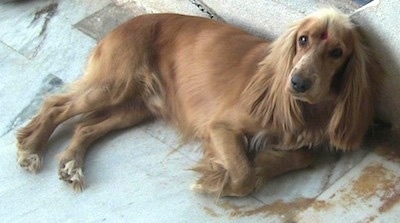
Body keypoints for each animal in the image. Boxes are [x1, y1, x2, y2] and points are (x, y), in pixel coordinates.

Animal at [16, 8, 382, 197]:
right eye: (302, 40)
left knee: (86, 128)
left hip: (135, 107)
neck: (307, 109)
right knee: (57, 106)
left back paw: (71, 163)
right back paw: (32, 148)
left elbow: (301, 156)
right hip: (113, 85)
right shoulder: (221, 126)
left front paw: (261, 162)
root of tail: (123, 25)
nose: (298, 83)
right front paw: (217, 180)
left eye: (337, 52)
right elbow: (243, 173)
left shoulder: (300, 141)